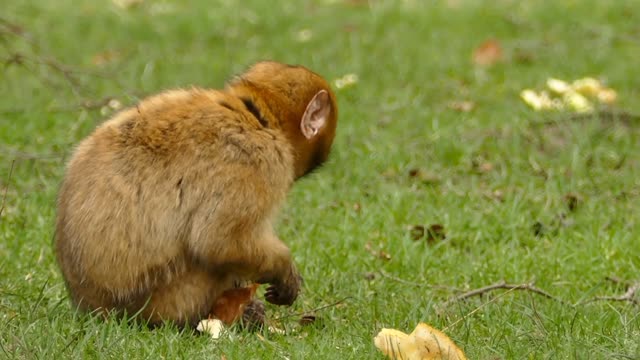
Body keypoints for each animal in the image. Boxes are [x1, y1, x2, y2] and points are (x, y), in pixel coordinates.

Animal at [53, 62, 340, 330]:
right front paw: (284, 270)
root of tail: (91, 307)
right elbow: (218, 242)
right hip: (169, 299)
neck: (255, 116)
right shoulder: (258, 160)